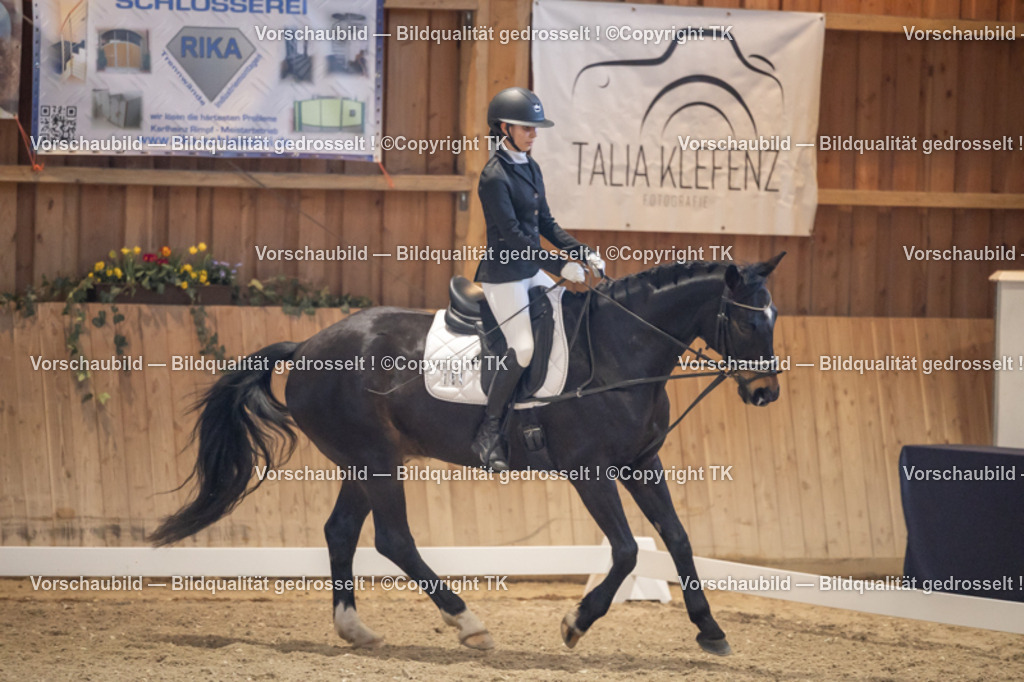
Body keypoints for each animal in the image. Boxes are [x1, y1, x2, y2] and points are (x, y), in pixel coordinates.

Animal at [150, 252, 784, 656]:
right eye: (746, 325)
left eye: (774, 320)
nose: (765, 394)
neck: (618, 350)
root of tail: (307, 344)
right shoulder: (590, 471)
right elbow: (628, 550)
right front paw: (574, 624)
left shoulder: (639, 463)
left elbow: (676, 538)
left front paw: (709, 630)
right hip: (375, 459)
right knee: (394, 539)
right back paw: (469, 625)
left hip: (367, 460)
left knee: (341, 531)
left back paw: (356, 629)